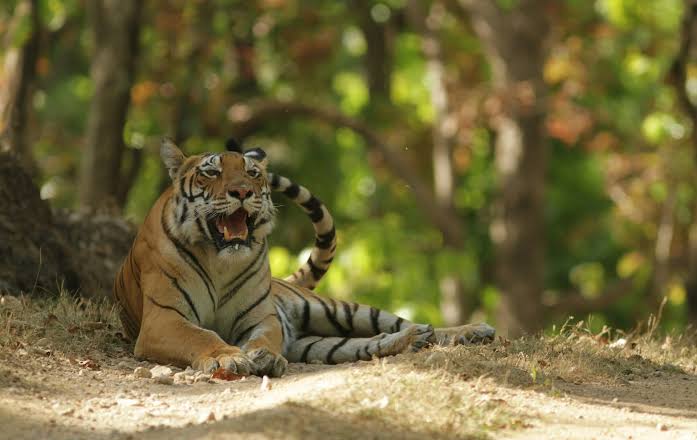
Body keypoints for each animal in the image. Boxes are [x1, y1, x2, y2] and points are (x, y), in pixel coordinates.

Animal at [113, 138, 495, 378]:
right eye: (212, 172)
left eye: (252, 173)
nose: (243, 192)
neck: (219, 260)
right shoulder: (163, 319)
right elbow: (202, 336)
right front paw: (230, 358)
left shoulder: (262, 317)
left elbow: (264, 338)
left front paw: (264, 357)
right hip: (316, 344)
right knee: (365, 344)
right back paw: (413, 339)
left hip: (337, 310)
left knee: (397, 322)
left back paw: (468, 331)